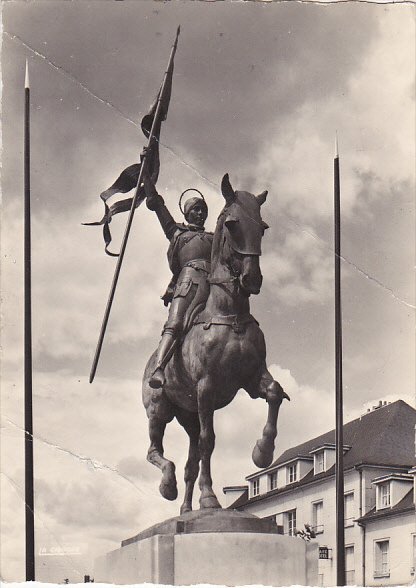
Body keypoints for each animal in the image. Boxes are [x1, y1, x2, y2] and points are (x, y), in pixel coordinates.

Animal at [143, 172, 290, 512]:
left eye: (263, 227)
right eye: (233, 224)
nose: (252, 279)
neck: (229, 313)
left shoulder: (251, 379)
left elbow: (275, 393)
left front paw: (262, 451)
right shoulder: (206, 388)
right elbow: (210, 441)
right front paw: (209, 497)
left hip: (189, 416)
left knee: (190, 462)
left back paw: (186, 508)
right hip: (160, 409)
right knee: (156, 450)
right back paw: (168, 485)